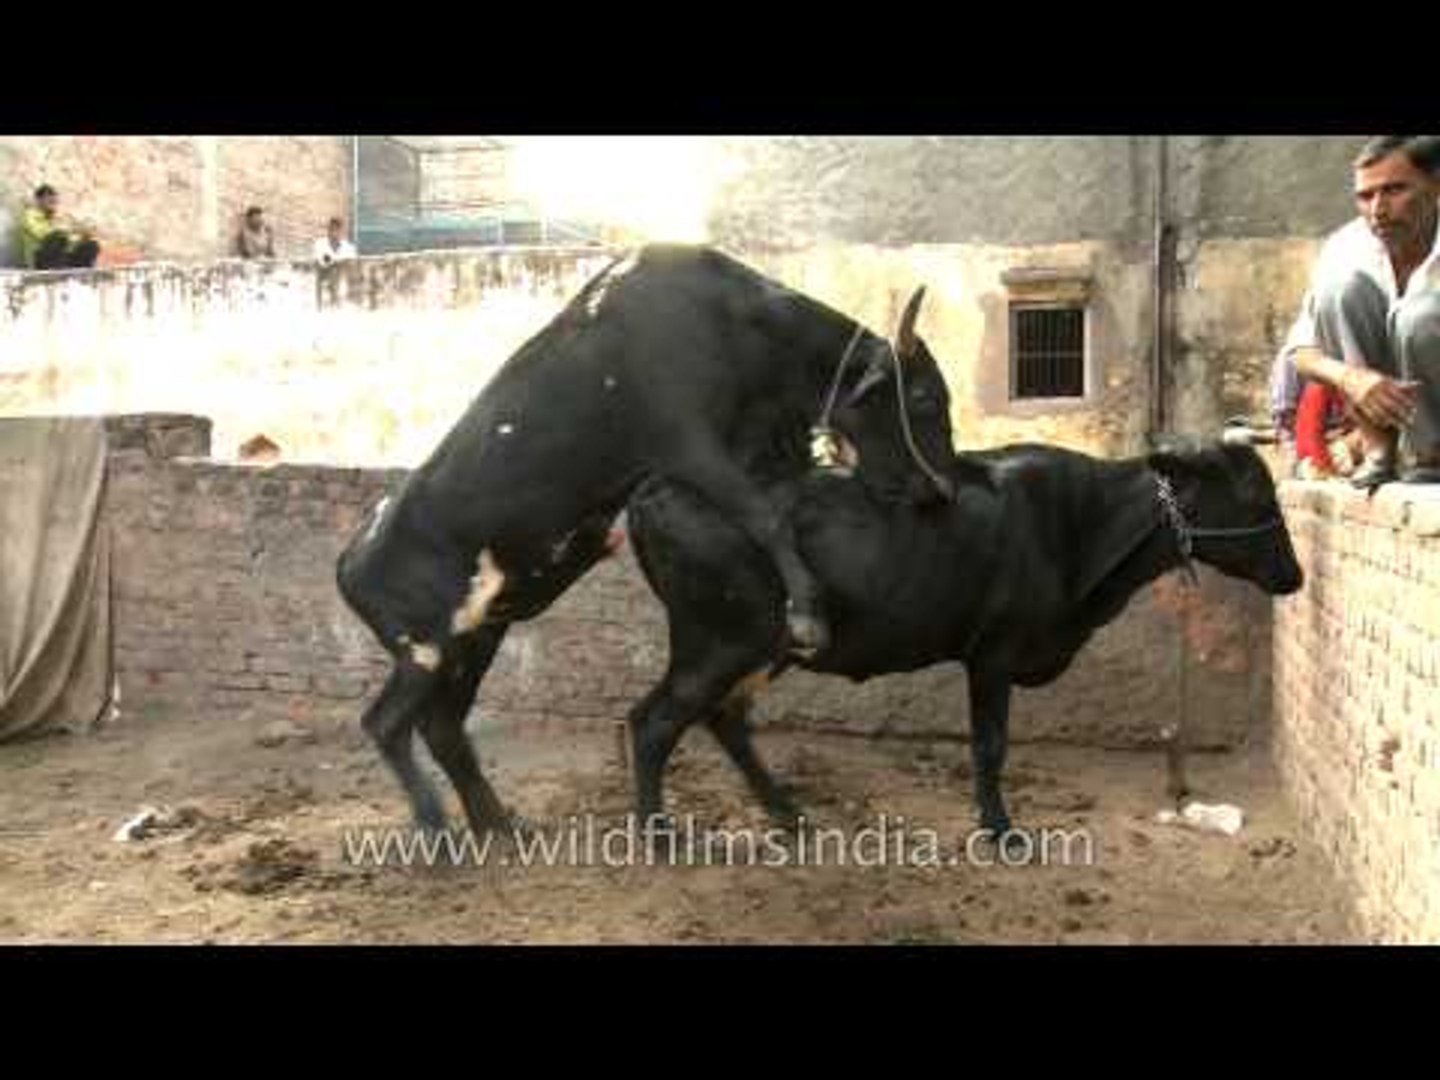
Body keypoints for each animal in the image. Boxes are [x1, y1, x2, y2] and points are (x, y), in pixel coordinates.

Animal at [335, 243, 956, 835]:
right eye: (925, 397)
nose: (943, 488)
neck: (739, 322)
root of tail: (351, 559)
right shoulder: (693, 445)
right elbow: (766, 517)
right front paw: (806, 614)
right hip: (426, 649)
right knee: (385, 723)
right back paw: (436, 824)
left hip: (477, 637)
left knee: (442, 726)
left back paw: (500, 826)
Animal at [624, 434, 1301, 846]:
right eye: (1255, 496)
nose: (1294, 576)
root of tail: (655, 487)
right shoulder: (993, 652)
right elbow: (990, 745)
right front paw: (1001, 830)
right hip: (721, 640)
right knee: (654, 720)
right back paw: (659, 836)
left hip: (762, 647)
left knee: (722, 719)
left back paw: (788, 813)